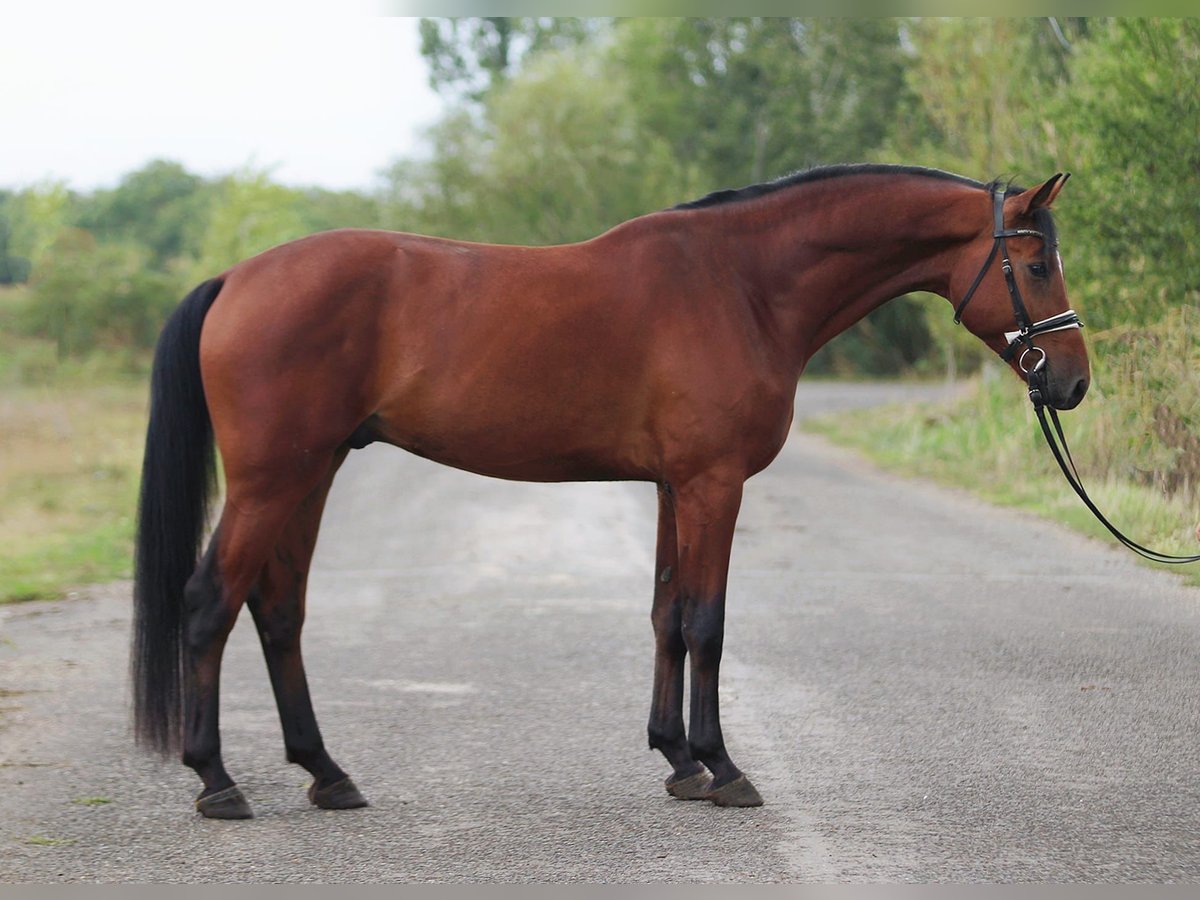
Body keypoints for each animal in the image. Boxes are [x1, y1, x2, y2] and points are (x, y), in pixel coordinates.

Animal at [129, 162, 1089, 816]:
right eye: (1038, 264)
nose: (1073, 381)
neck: (741, 284)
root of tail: (236, 279)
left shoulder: (673, 486)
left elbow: (666, 614)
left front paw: (678, 760)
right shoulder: (713, 485)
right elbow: (707, 622)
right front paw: (724, 767)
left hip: (313, 472)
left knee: (278, 610)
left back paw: (328, 774)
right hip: (272, 480)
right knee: (210, 602)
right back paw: (218, 782)